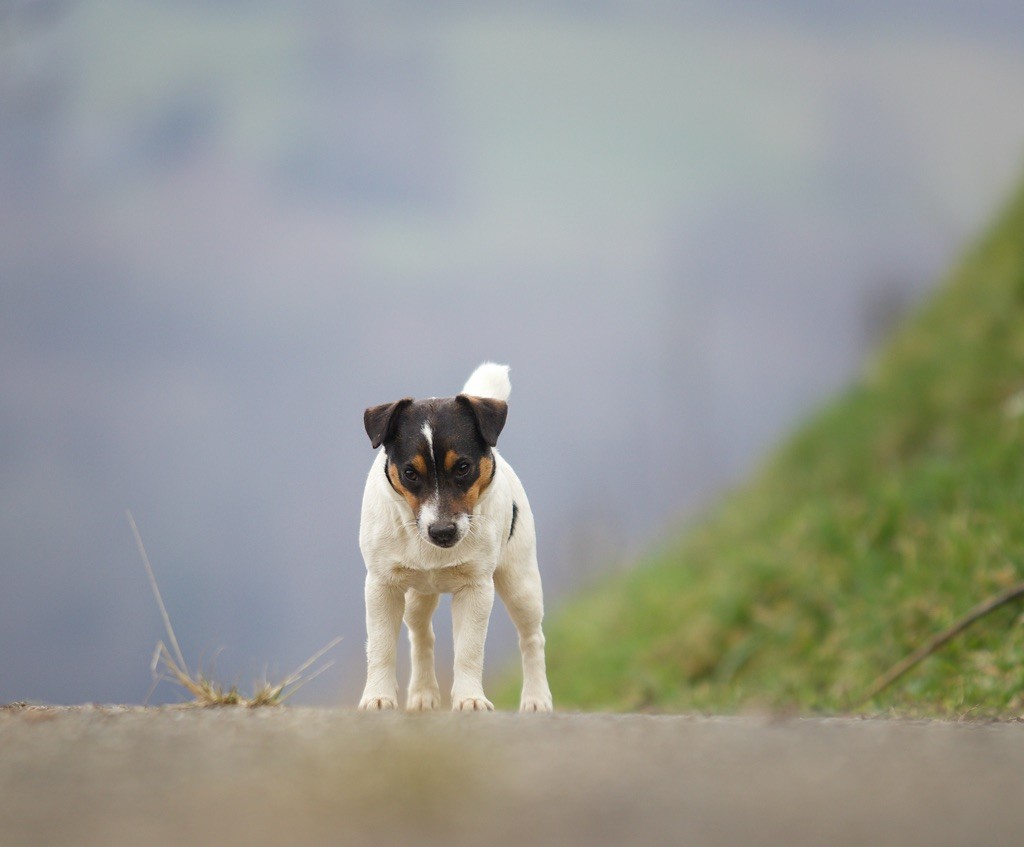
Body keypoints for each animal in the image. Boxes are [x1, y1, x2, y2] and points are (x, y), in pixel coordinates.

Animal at [358, 360, 552, 712]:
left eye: (463, 467)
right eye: (409, 473)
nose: (443, 531)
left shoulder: (476, 590)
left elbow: (469, 651)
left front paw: (470, 699)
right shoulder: (382, 586)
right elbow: (380, 647)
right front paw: (378, 697)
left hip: (521, 583)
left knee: (532, 637)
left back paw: (536, 699)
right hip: (416, 595)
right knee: (421, 634)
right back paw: (423, 694)